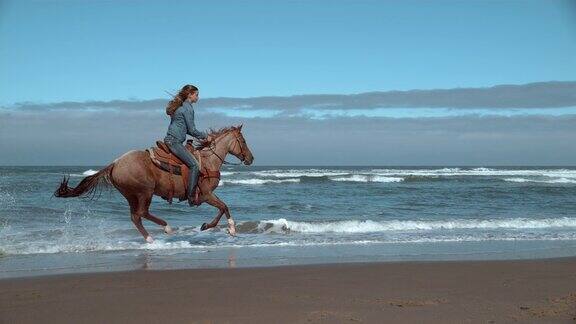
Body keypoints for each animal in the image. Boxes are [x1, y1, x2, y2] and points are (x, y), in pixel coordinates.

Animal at [53, 125, 254, 242]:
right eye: (243, 141)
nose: (250, 158)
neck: (208, 161)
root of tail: (115, 163)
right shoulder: (205, 195)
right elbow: (223, 207)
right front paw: (229, 228)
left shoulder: (208, 195)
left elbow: (223, 207)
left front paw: (216, 227)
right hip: (145, 192)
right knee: (141, 213)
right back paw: (166, 228)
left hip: (131, 195)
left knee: (135, 217)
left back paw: (150, 238)